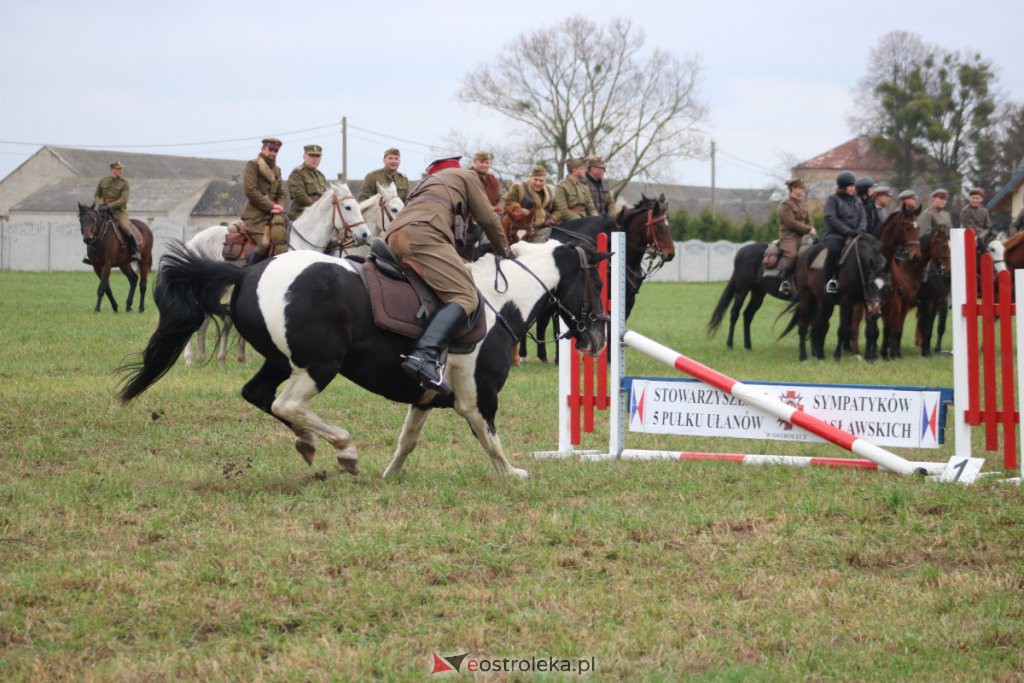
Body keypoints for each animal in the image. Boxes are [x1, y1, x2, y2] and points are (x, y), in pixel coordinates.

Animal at [117, 240, 606, 481]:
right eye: (598, 282)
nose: (598, 337)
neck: (496, 298)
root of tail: (249, 271)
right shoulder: (477, 396)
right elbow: (490, 440)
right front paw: (513, 474)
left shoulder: (427, 396)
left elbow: (408, 440)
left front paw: (389, 475)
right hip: (319, 366)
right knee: (286, 404)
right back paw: (343, 449)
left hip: (282, 362)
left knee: (260, 395)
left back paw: (309, 443)